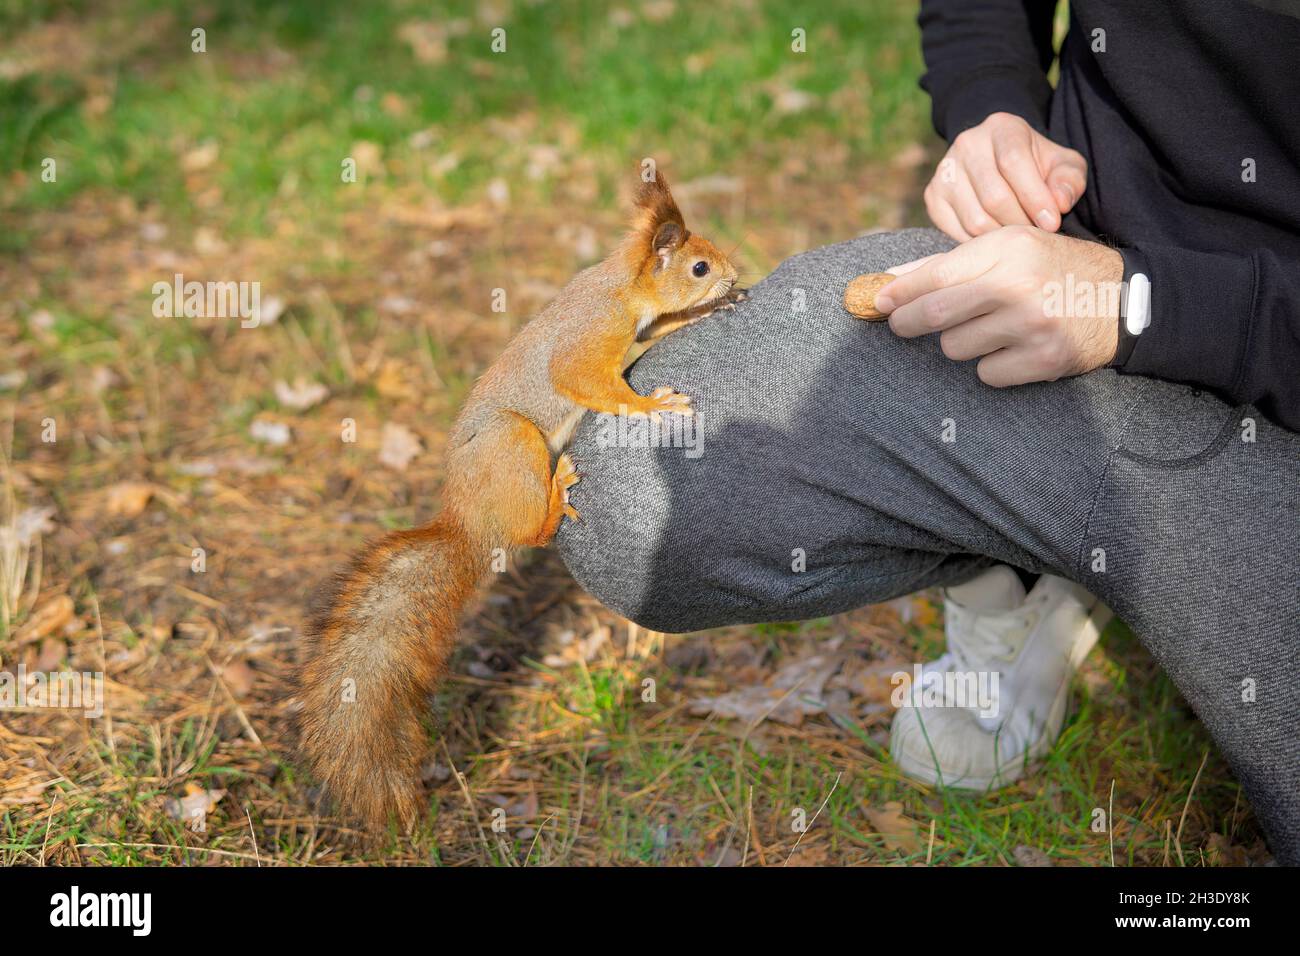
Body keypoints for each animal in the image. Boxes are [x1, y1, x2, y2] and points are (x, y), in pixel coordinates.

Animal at [297, 174, 743, 832]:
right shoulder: (589, 340)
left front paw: (709, 312)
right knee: (533, 531)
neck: (620, 288)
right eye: (699, 265)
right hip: (514, 443)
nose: (733, 277)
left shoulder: (635, 334)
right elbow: (585, 380)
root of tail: (469, 522)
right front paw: (650, 405)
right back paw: (556, 496)